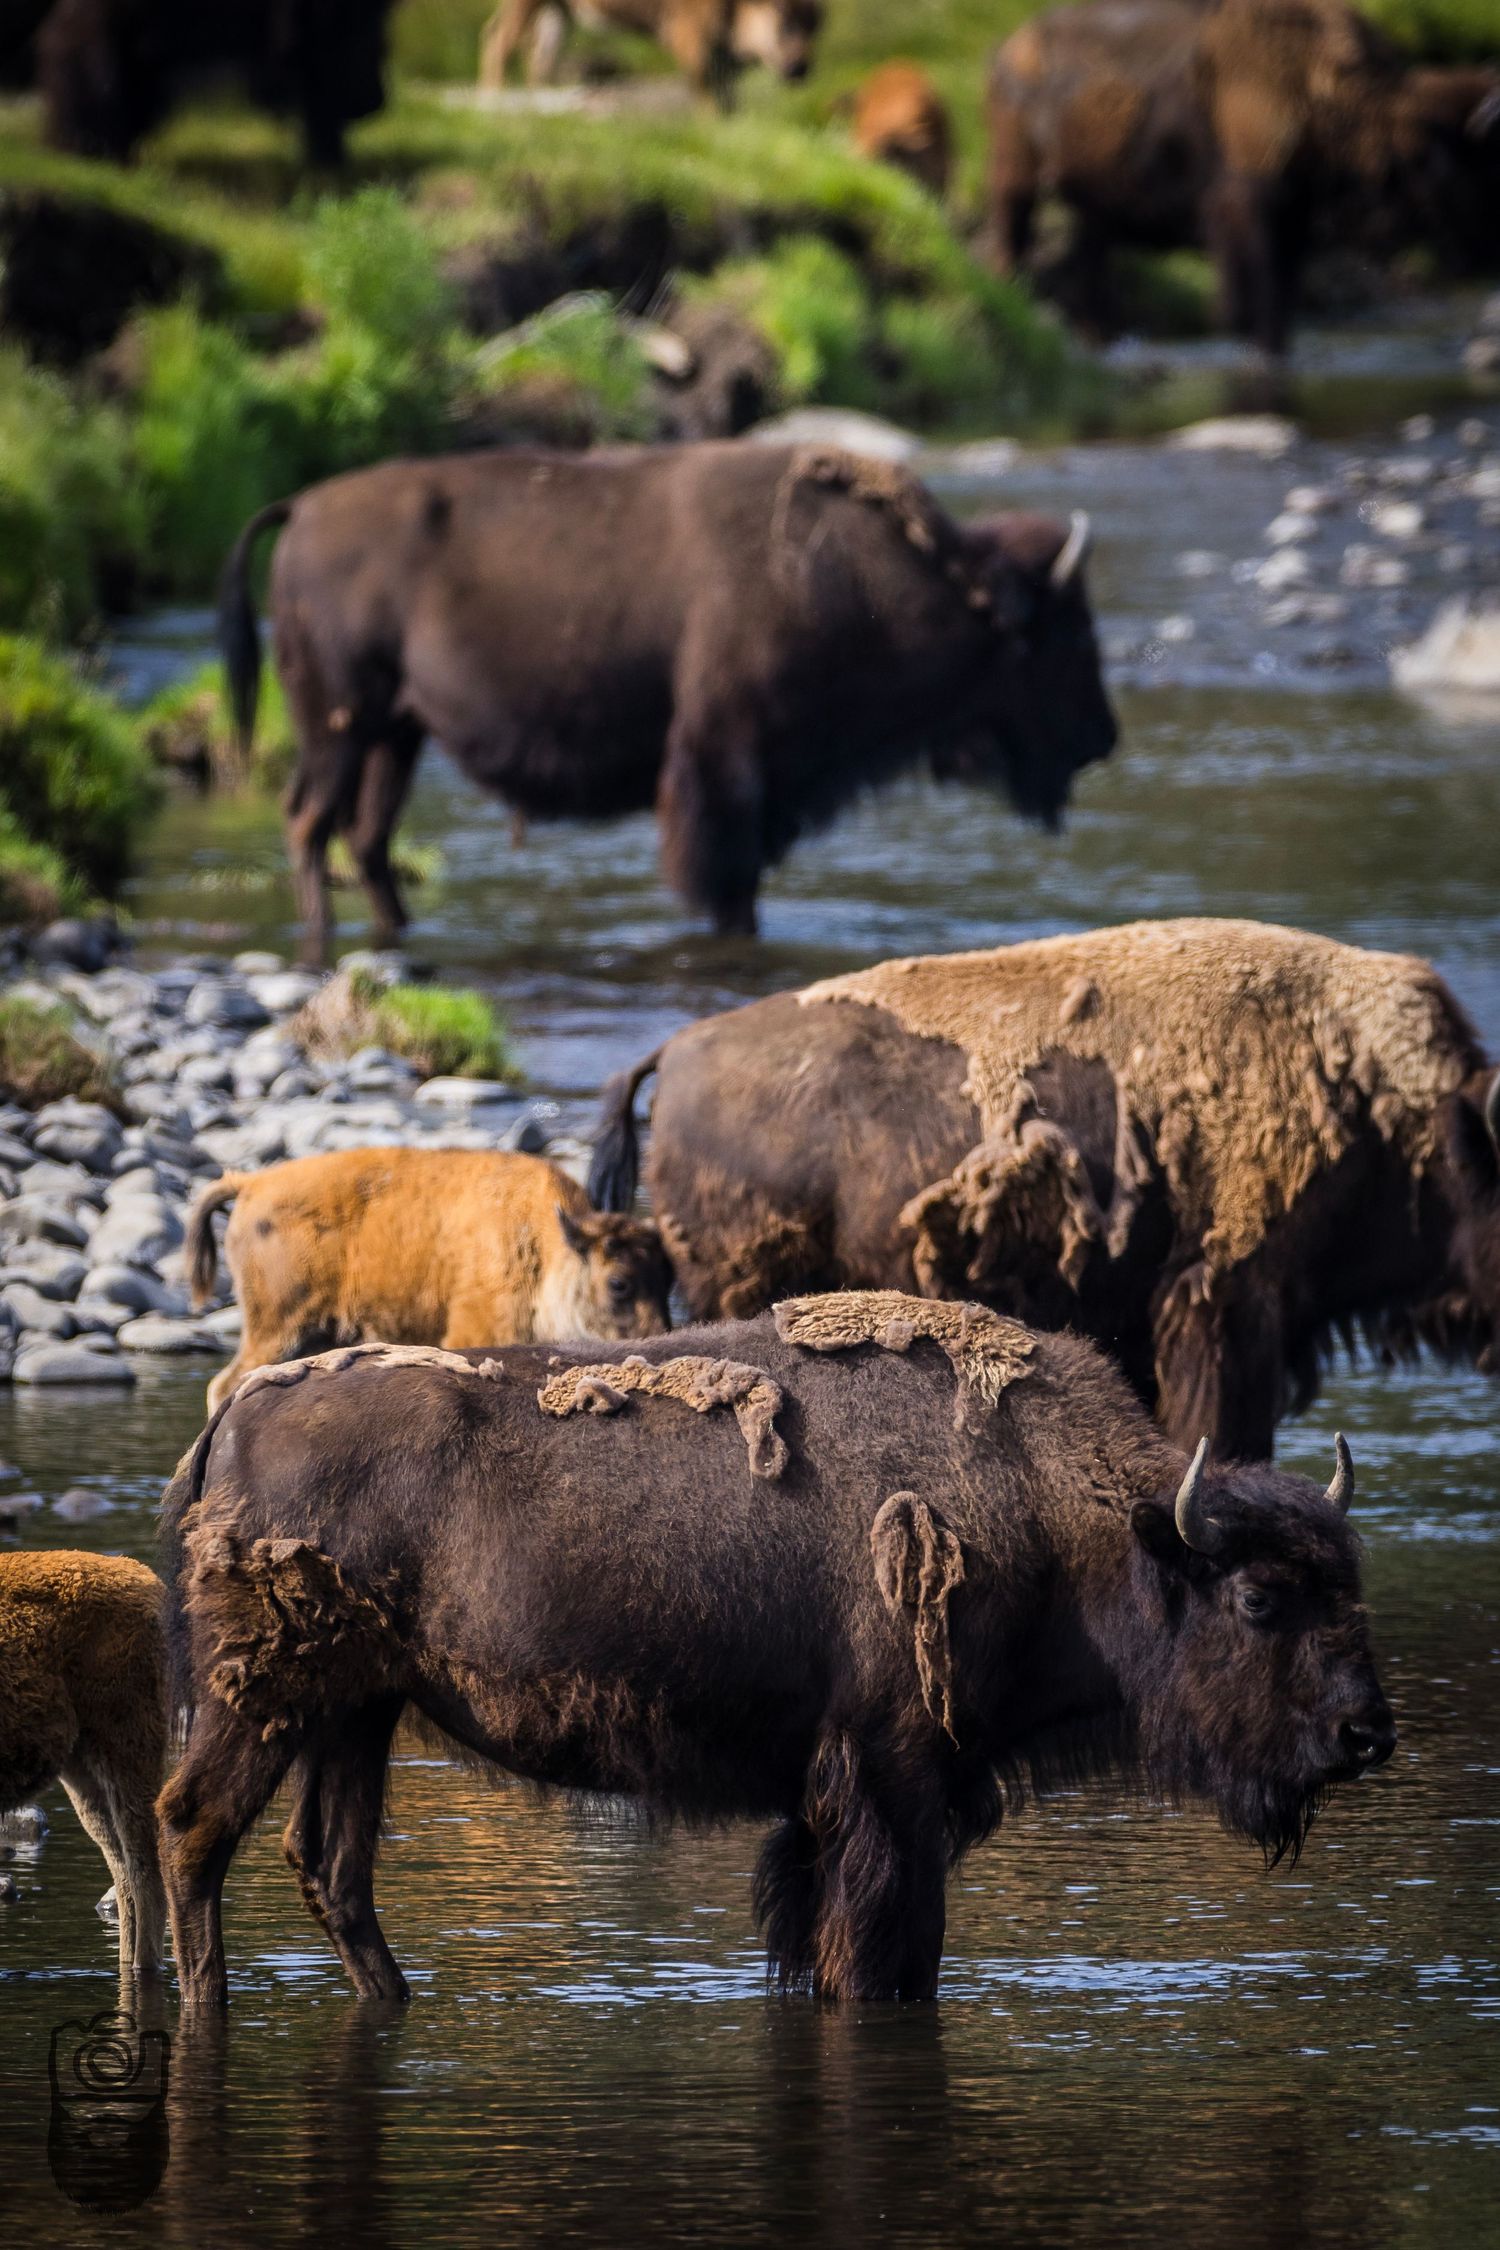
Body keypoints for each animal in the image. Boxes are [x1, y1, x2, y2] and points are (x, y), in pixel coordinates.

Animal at [157, 1294, 1393, 2006]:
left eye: (1351, 1586)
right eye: (1260, 1598)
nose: (1366, 1734)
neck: (1063, 1516)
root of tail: (234, 1415)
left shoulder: (829, 1801)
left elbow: (811, 1936)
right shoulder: (895, 1782)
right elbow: (886, 1950)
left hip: (354, 1710)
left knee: (330, 1866)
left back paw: (395, 2001)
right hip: (260, 1700)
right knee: (193, 1831)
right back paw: (202, 2009)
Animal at [220, 442, 1117, 960]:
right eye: (1069, 631)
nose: (1104, 738)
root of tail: (301, 508)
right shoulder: (724, 768)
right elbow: (727, 882)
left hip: (397, 734)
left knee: (365, 837)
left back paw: (395, 934)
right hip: (337, 725)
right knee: (310, 823)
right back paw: (324, 939)